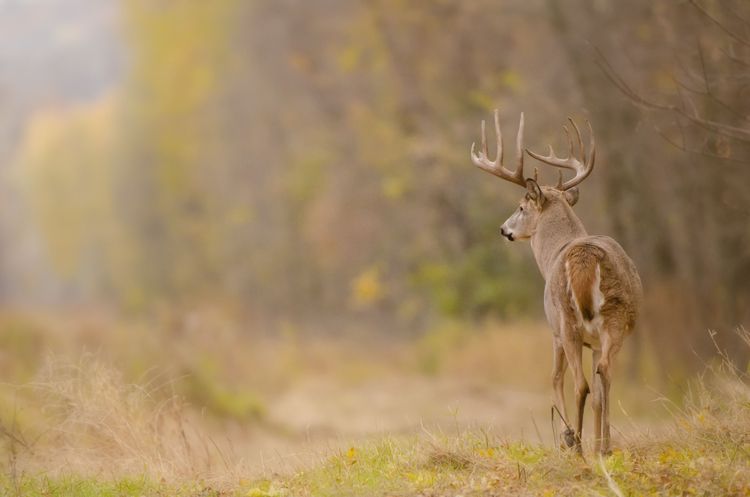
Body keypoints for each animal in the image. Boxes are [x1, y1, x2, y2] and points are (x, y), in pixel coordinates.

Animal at [472, 110, 644, 456]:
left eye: (521, 207)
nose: (503, 229)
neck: (556, 250)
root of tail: (584, 257)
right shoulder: (594, 341)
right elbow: (599, 393)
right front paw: (598, 443)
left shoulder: (553, 330)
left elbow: (553, 378)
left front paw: (567, 436)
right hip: (615, 320)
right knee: (604, 374)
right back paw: (603, 448)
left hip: (566, 321)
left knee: (579, 384)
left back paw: (575, 445)